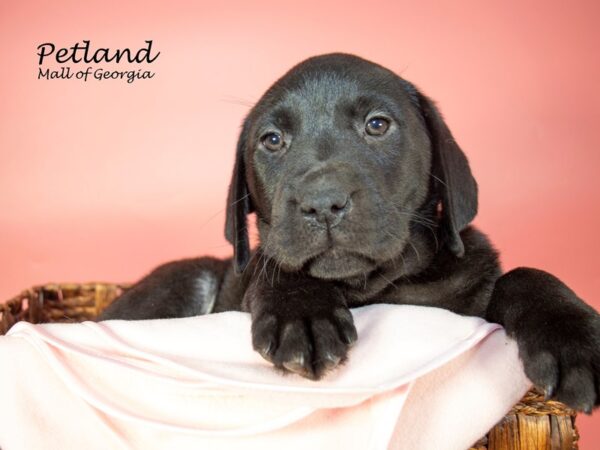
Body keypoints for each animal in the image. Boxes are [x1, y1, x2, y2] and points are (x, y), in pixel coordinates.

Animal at [99, 53, 600, 414]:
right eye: (272, 140)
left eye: (377, 124)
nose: (322, 203)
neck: (378, 285)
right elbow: (281, 269)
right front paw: (301, 316)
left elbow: (526, 276)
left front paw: (575, 339)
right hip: (181, 282)